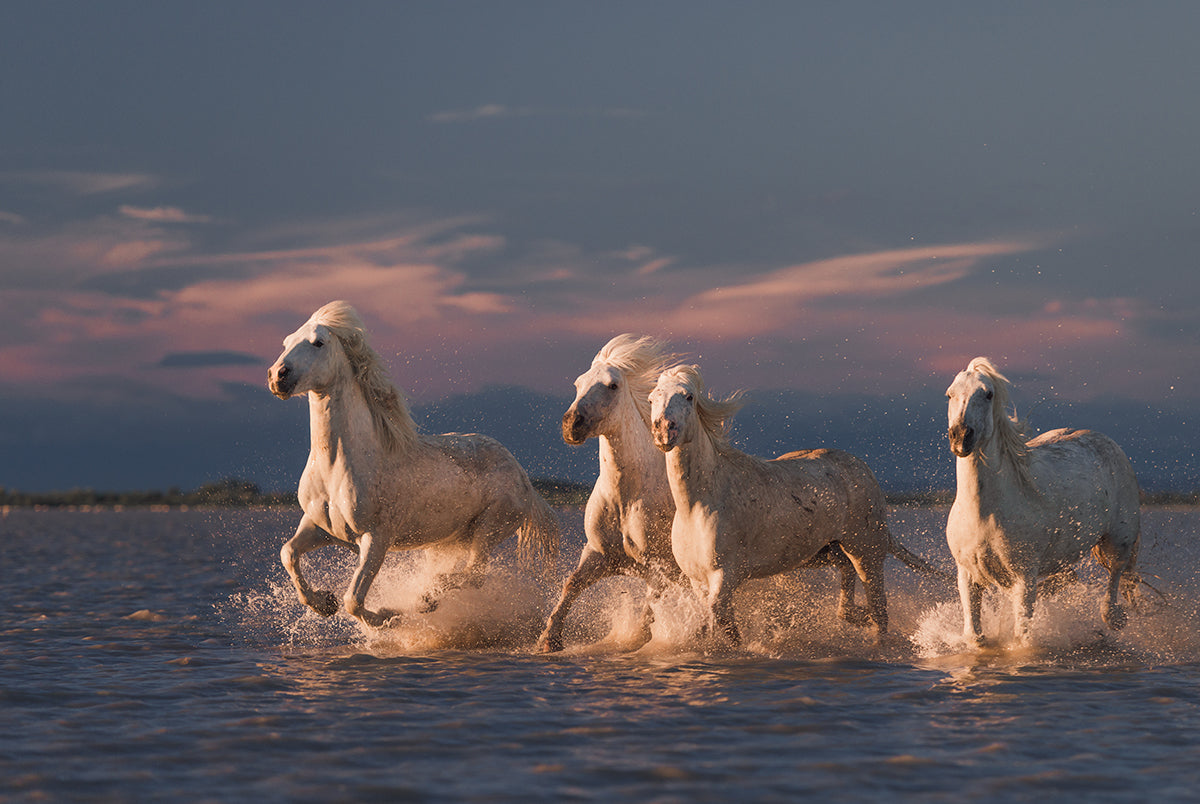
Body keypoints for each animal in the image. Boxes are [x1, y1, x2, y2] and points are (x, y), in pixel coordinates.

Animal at [267, 301, 559, 628]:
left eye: (318, 342)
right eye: (287, 342)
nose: (278, 376)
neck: (337, 467)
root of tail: (523, 476)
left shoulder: (376, 538)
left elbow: (354, 599)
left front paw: (387, 616)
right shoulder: (320, 527)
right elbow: (288, 552)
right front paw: (323, 602)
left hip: (489, 528)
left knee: (475, 575)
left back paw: (427, 598)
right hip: (451, 540)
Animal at [535, 334, 682, 653]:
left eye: (612, 385)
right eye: (578, 383)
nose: (571, 424)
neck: (626, 497)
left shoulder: (661, 565)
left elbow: (653, 602)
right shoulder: (600, 554)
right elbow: (572, 584)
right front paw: (549, 639)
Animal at [649, 364, 941, 646]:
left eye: (688, 396)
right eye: (652, 398)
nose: (663, 430)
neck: (698, 505)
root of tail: (863, 469)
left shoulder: (726, 575)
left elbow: (715, 620)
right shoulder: (698, 581)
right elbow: (726, 627)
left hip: (866, 552)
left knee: (879, 610)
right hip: (822, 553)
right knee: (847, 575)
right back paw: (854, 615)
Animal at [945, 356, 1141, 646]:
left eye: (988, 394)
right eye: (950, 394)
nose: (960, 437)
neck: (984, 512)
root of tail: (1106, 440)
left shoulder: (1024, 576)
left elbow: (1022, 636)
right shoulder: (968, 575)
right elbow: (974, 636)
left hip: (1119, 538)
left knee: (1116, 573)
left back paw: (1114, 618)